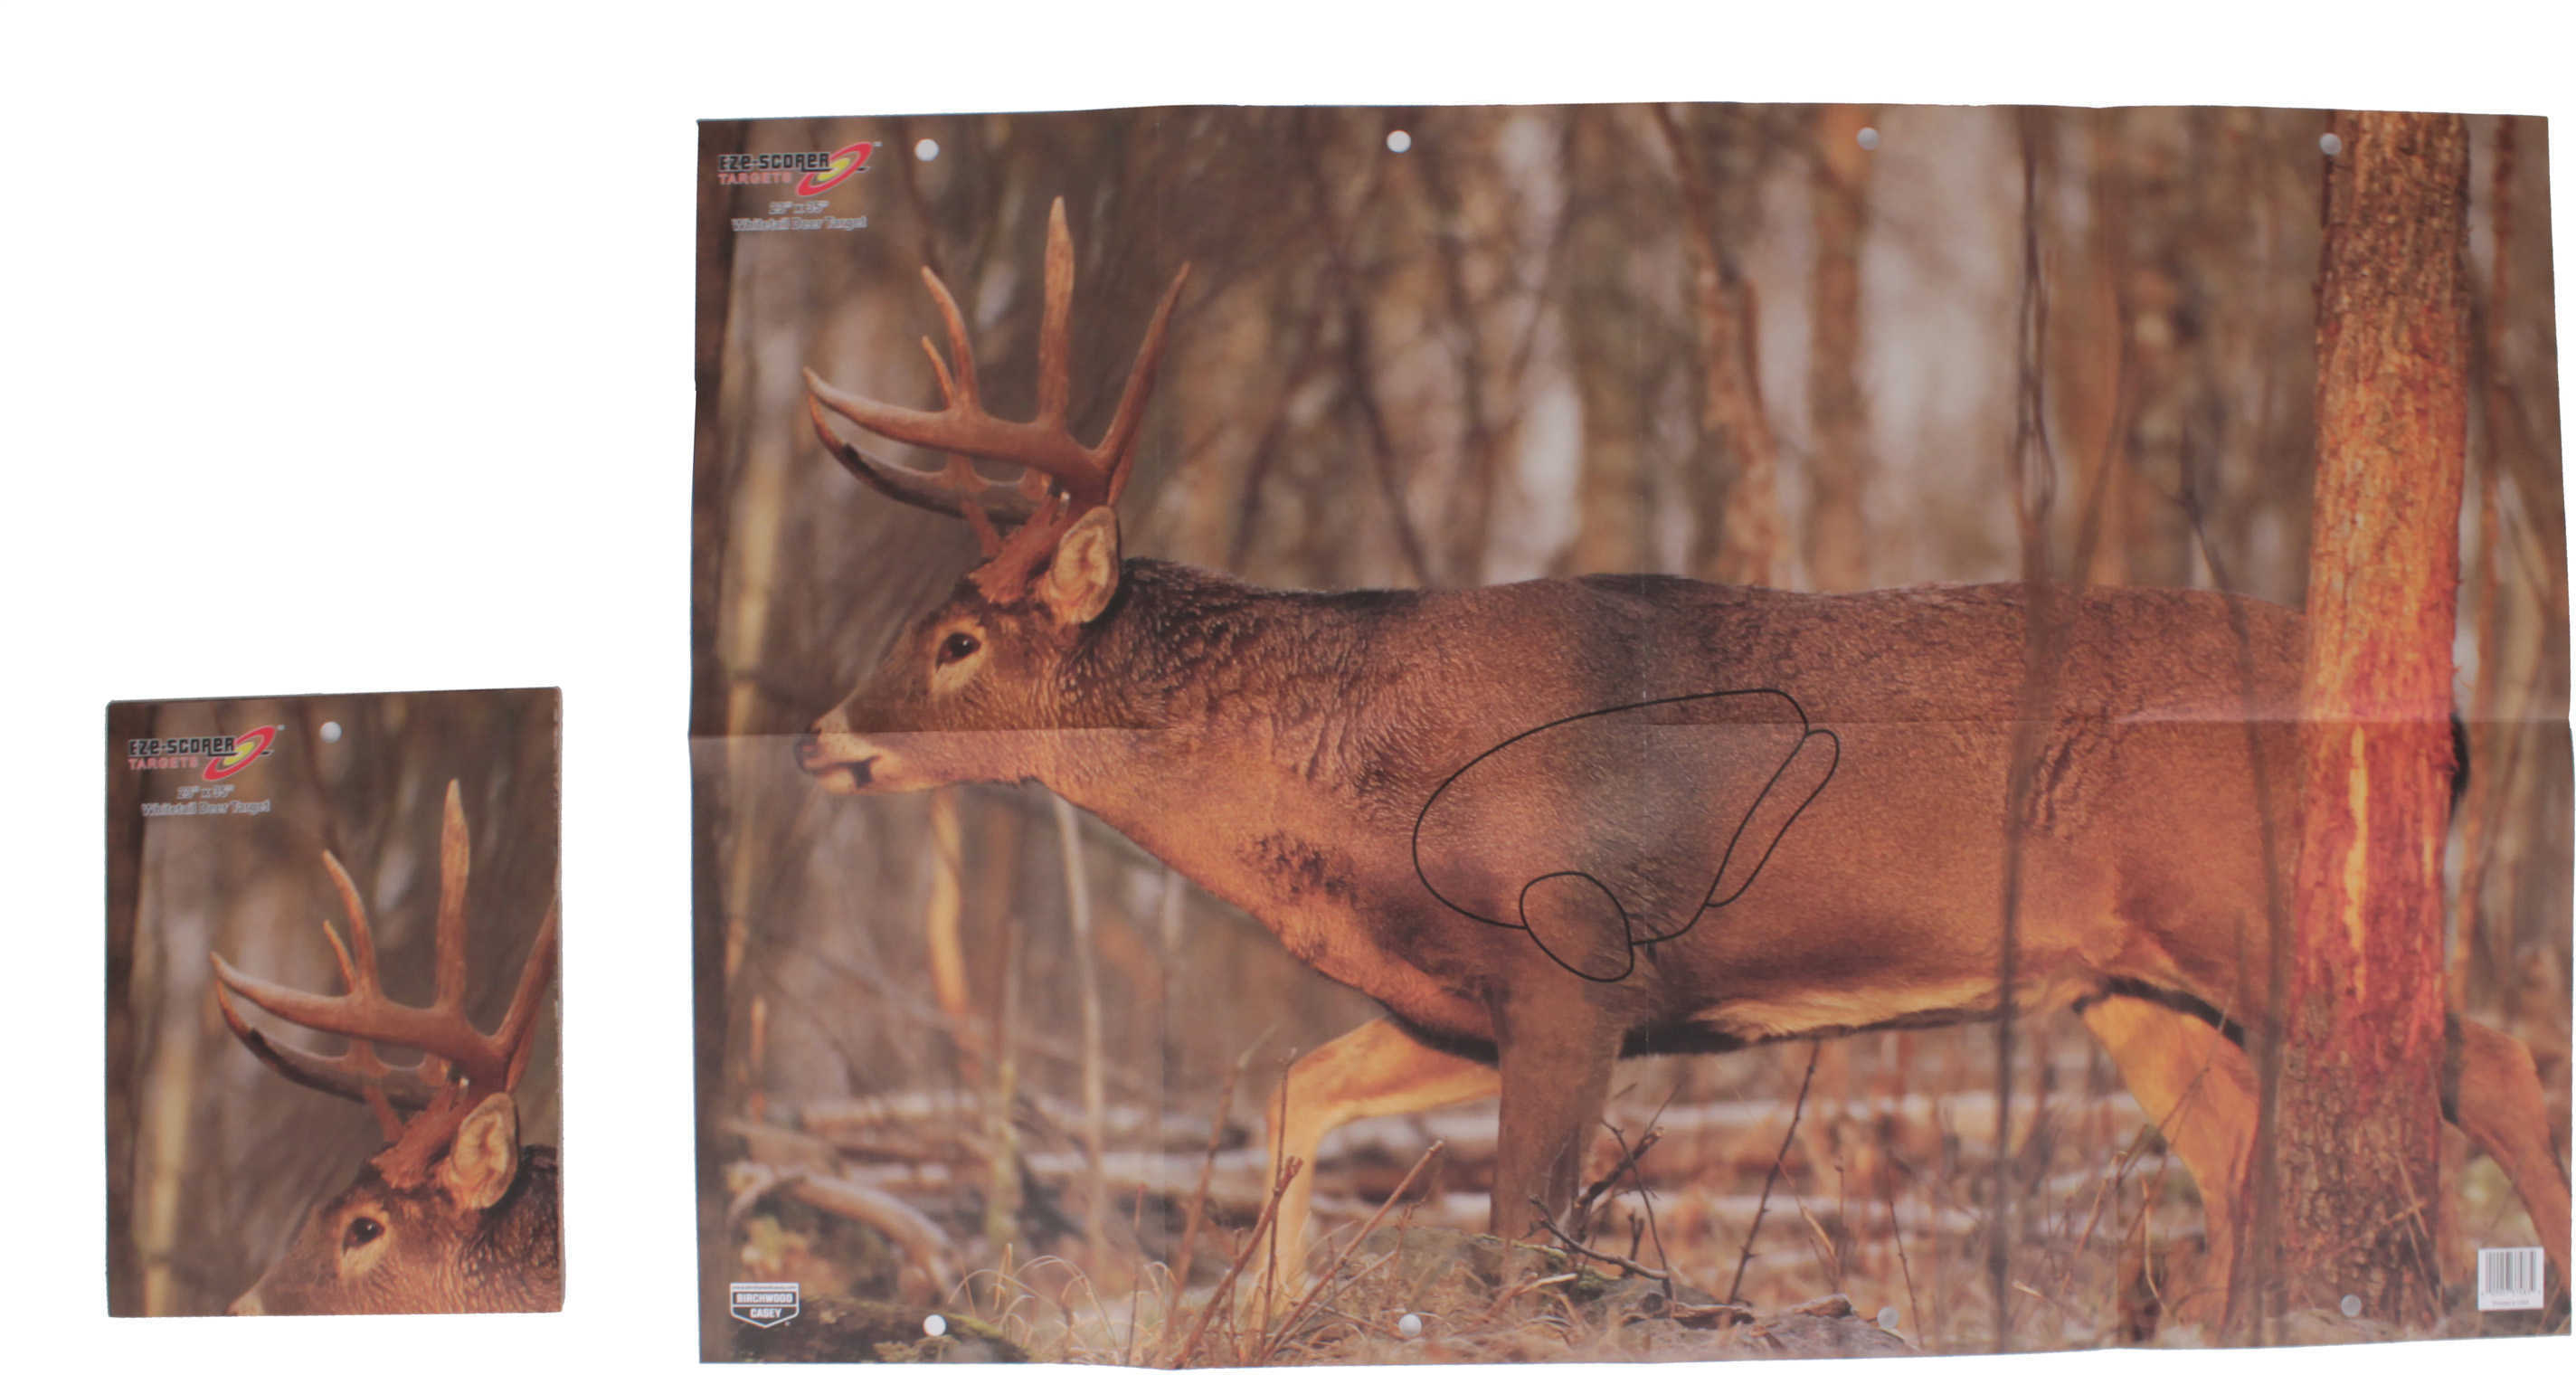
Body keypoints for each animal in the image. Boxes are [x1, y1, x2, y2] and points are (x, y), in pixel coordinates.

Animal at [793, 198, 2570, 1321]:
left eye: (957, 641)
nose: (819, 737)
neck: (1360, 798)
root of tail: (2441, 711)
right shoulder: (1460, 1000)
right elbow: (1297, 1095)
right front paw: (1259, 1318)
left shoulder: (1578, 959)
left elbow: (1524, 1244)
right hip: (2123, 982)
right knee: (2241, 1152)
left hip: (2258, 911)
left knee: (2489, 1070)